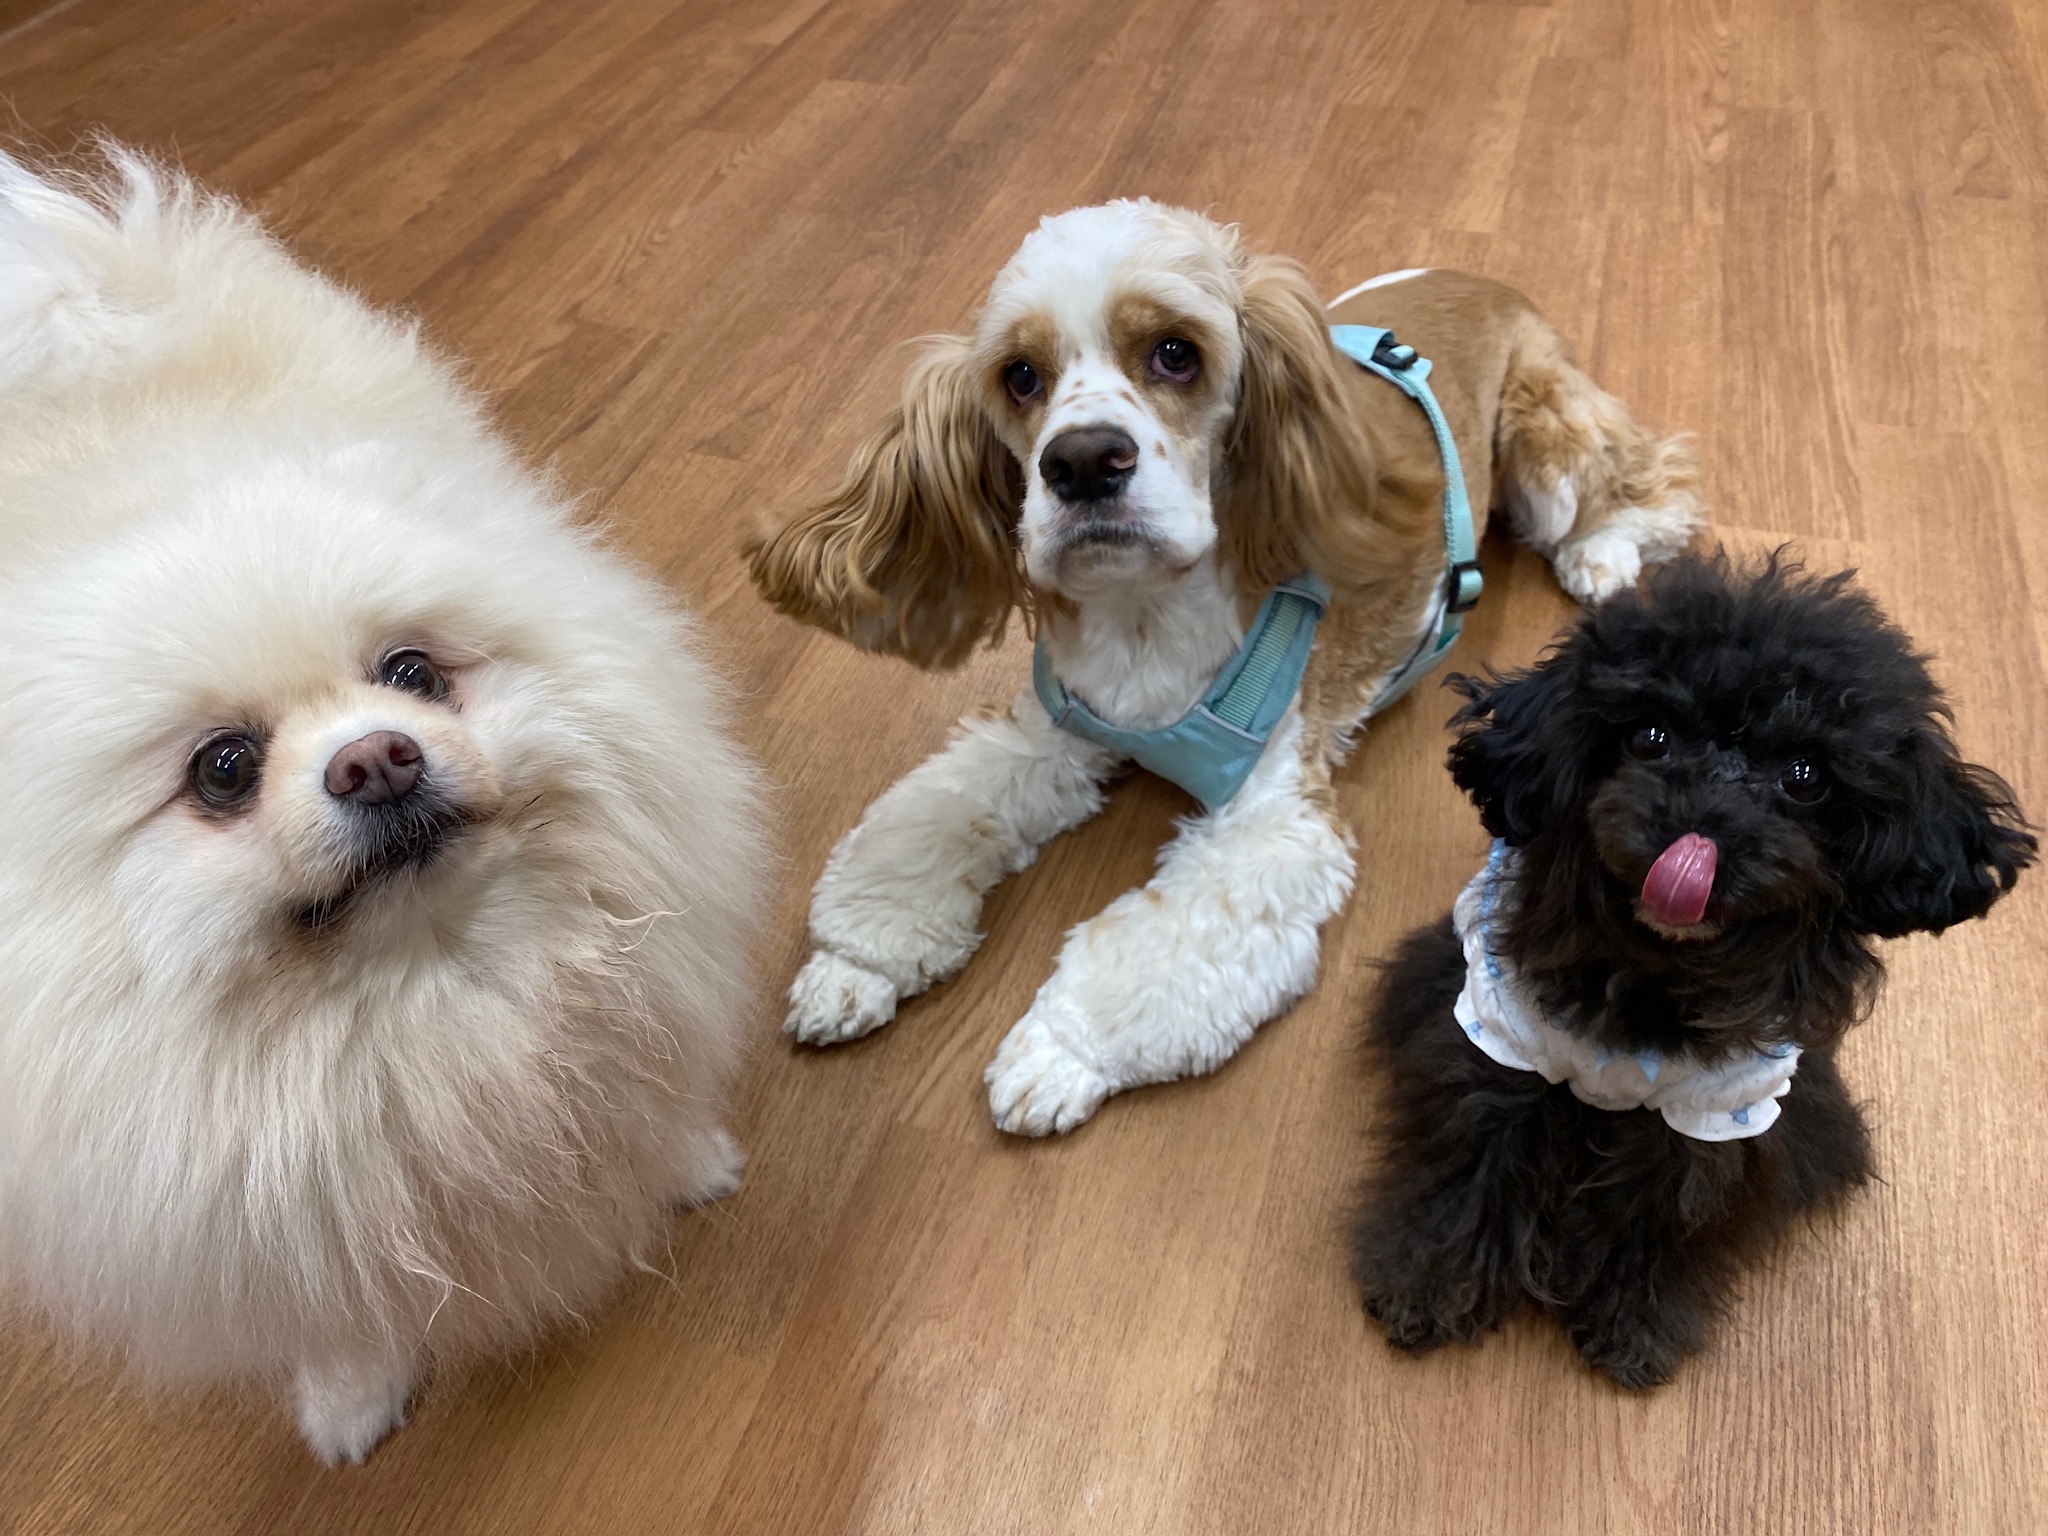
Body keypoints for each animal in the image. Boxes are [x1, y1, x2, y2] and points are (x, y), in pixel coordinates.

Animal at [0, 148, 767, 1463]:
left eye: (411, 674)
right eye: (222, 770)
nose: (377, 761)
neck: (431, 993)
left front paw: (683, 1162)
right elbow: (323, 1301)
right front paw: (352, 1395)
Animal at [748, 199, 1704, 1134]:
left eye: (1176, 353)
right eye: (1020, 376)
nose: (1083, 459)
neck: (1144, 618)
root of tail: (1486, 280)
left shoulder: (1271, 823)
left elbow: (1153, 946)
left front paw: (1055, 1053)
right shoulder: (1052, 735)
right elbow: (929, 824)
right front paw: (853, 967)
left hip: (1546, 445)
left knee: (1647, 488)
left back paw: (1600, 555)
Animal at [1350, 552, 2036, 1387]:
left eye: (1805, 776)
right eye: (1650, 736)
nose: (1698, 828)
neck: (1655, 971)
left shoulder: (1718, 1110)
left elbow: (1675, 1205)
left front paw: (1635, 1320)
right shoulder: (1507, 1046)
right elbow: (1474, 1156)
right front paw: (1432, 1281)